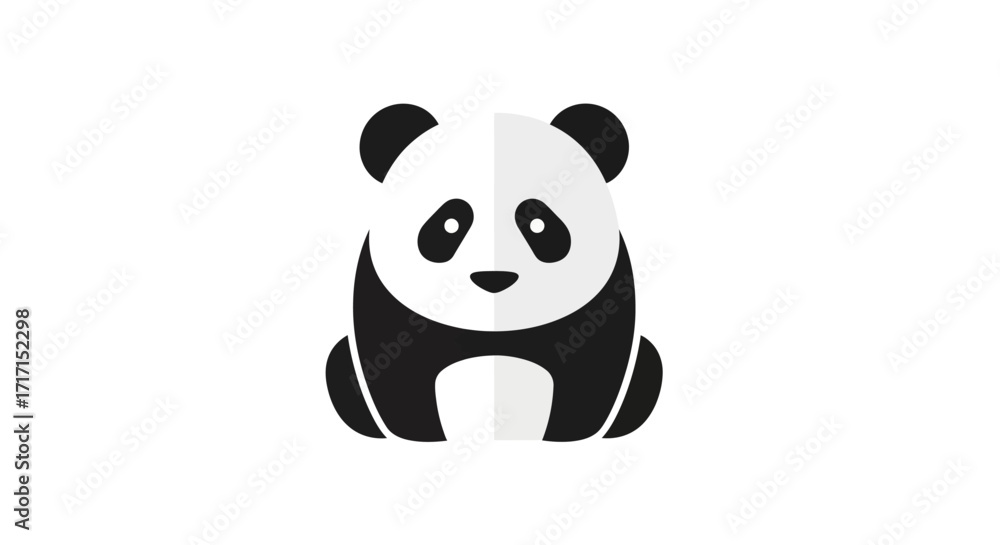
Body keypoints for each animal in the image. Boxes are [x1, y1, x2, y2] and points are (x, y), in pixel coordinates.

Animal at [326, 103, 662, 442]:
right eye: (449, 224)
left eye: (539, 223)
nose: (493, 277)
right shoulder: (388, 304)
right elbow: (396, 368)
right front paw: (418, 435)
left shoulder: (599, 305)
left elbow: (589, 368)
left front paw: (569, 435)